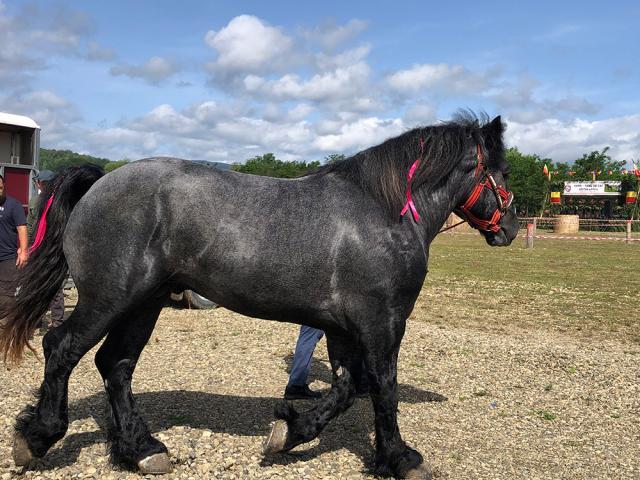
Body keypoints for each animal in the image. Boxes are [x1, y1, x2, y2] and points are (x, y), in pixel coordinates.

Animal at [0, 113, 516, 480]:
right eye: (503, 172)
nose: (510, 228)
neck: (383, 211)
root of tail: (100, 183)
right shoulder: (382, 323)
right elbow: (383, 389)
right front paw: (400, 458)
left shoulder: (343, 328)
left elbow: (347, 389)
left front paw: (289, 432)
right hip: (110, 299)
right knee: (62, 349)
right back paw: (39, 437)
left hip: (142, 305)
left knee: (116, 365)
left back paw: (142, 450)